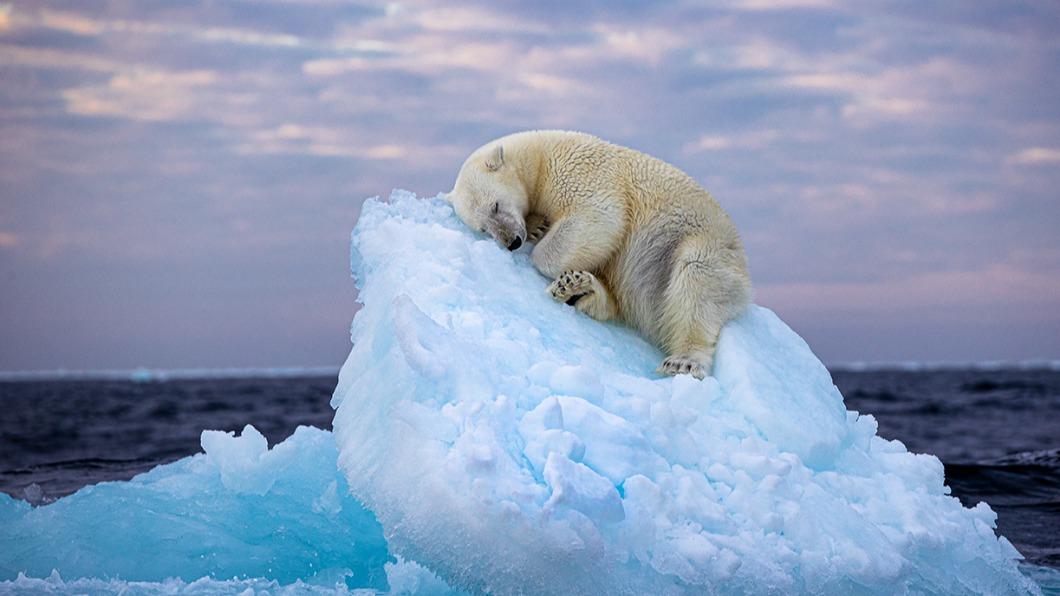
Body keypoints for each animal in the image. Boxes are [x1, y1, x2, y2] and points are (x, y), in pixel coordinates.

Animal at [447, 130, 752, 379]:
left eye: (496, 205)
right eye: (484, 228)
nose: (512, 241)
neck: (540, 157)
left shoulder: (580, 172)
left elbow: (600, 217)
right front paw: (538, 227)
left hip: (702, 245)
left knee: (696, 282)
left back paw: (683, 361)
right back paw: (578, 289)